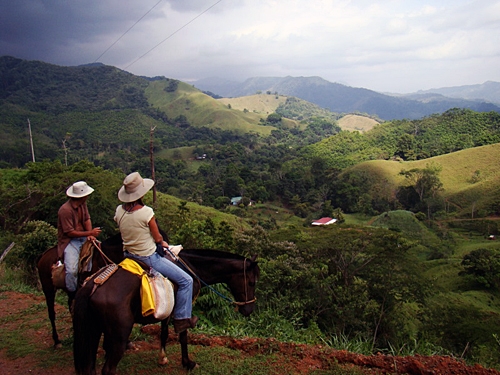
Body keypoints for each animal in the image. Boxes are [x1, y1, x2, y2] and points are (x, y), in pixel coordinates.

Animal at [73, 242, 262, 374]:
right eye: (252, 283)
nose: (249, 310)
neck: (191, 267)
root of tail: (93, 284)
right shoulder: (184, 306)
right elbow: (183, 334)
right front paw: (187, 363)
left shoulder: (168, 308)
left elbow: (164, 333)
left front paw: (163, 358)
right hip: (119, 334)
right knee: (108, 369)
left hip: (93, 330)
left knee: (90, 368)